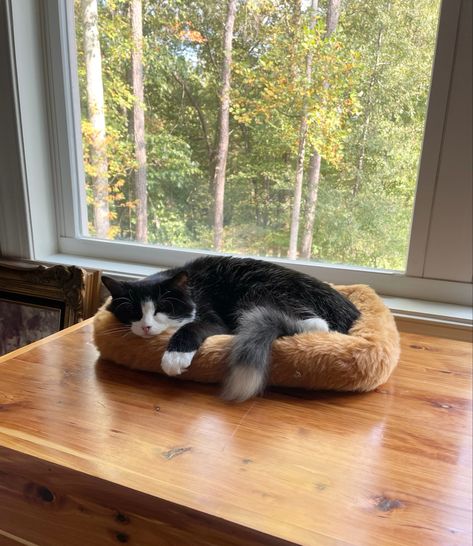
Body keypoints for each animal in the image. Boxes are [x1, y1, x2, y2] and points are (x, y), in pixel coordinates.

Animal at [101, 255, 360, 400]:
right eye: (132, 311)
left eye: (162, 308)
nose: (146, 327)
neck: (192, 288)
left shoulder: (213, 317)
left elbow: (191, 327)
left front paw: (174, 358)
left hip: (257, 292)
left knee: (320, 324)